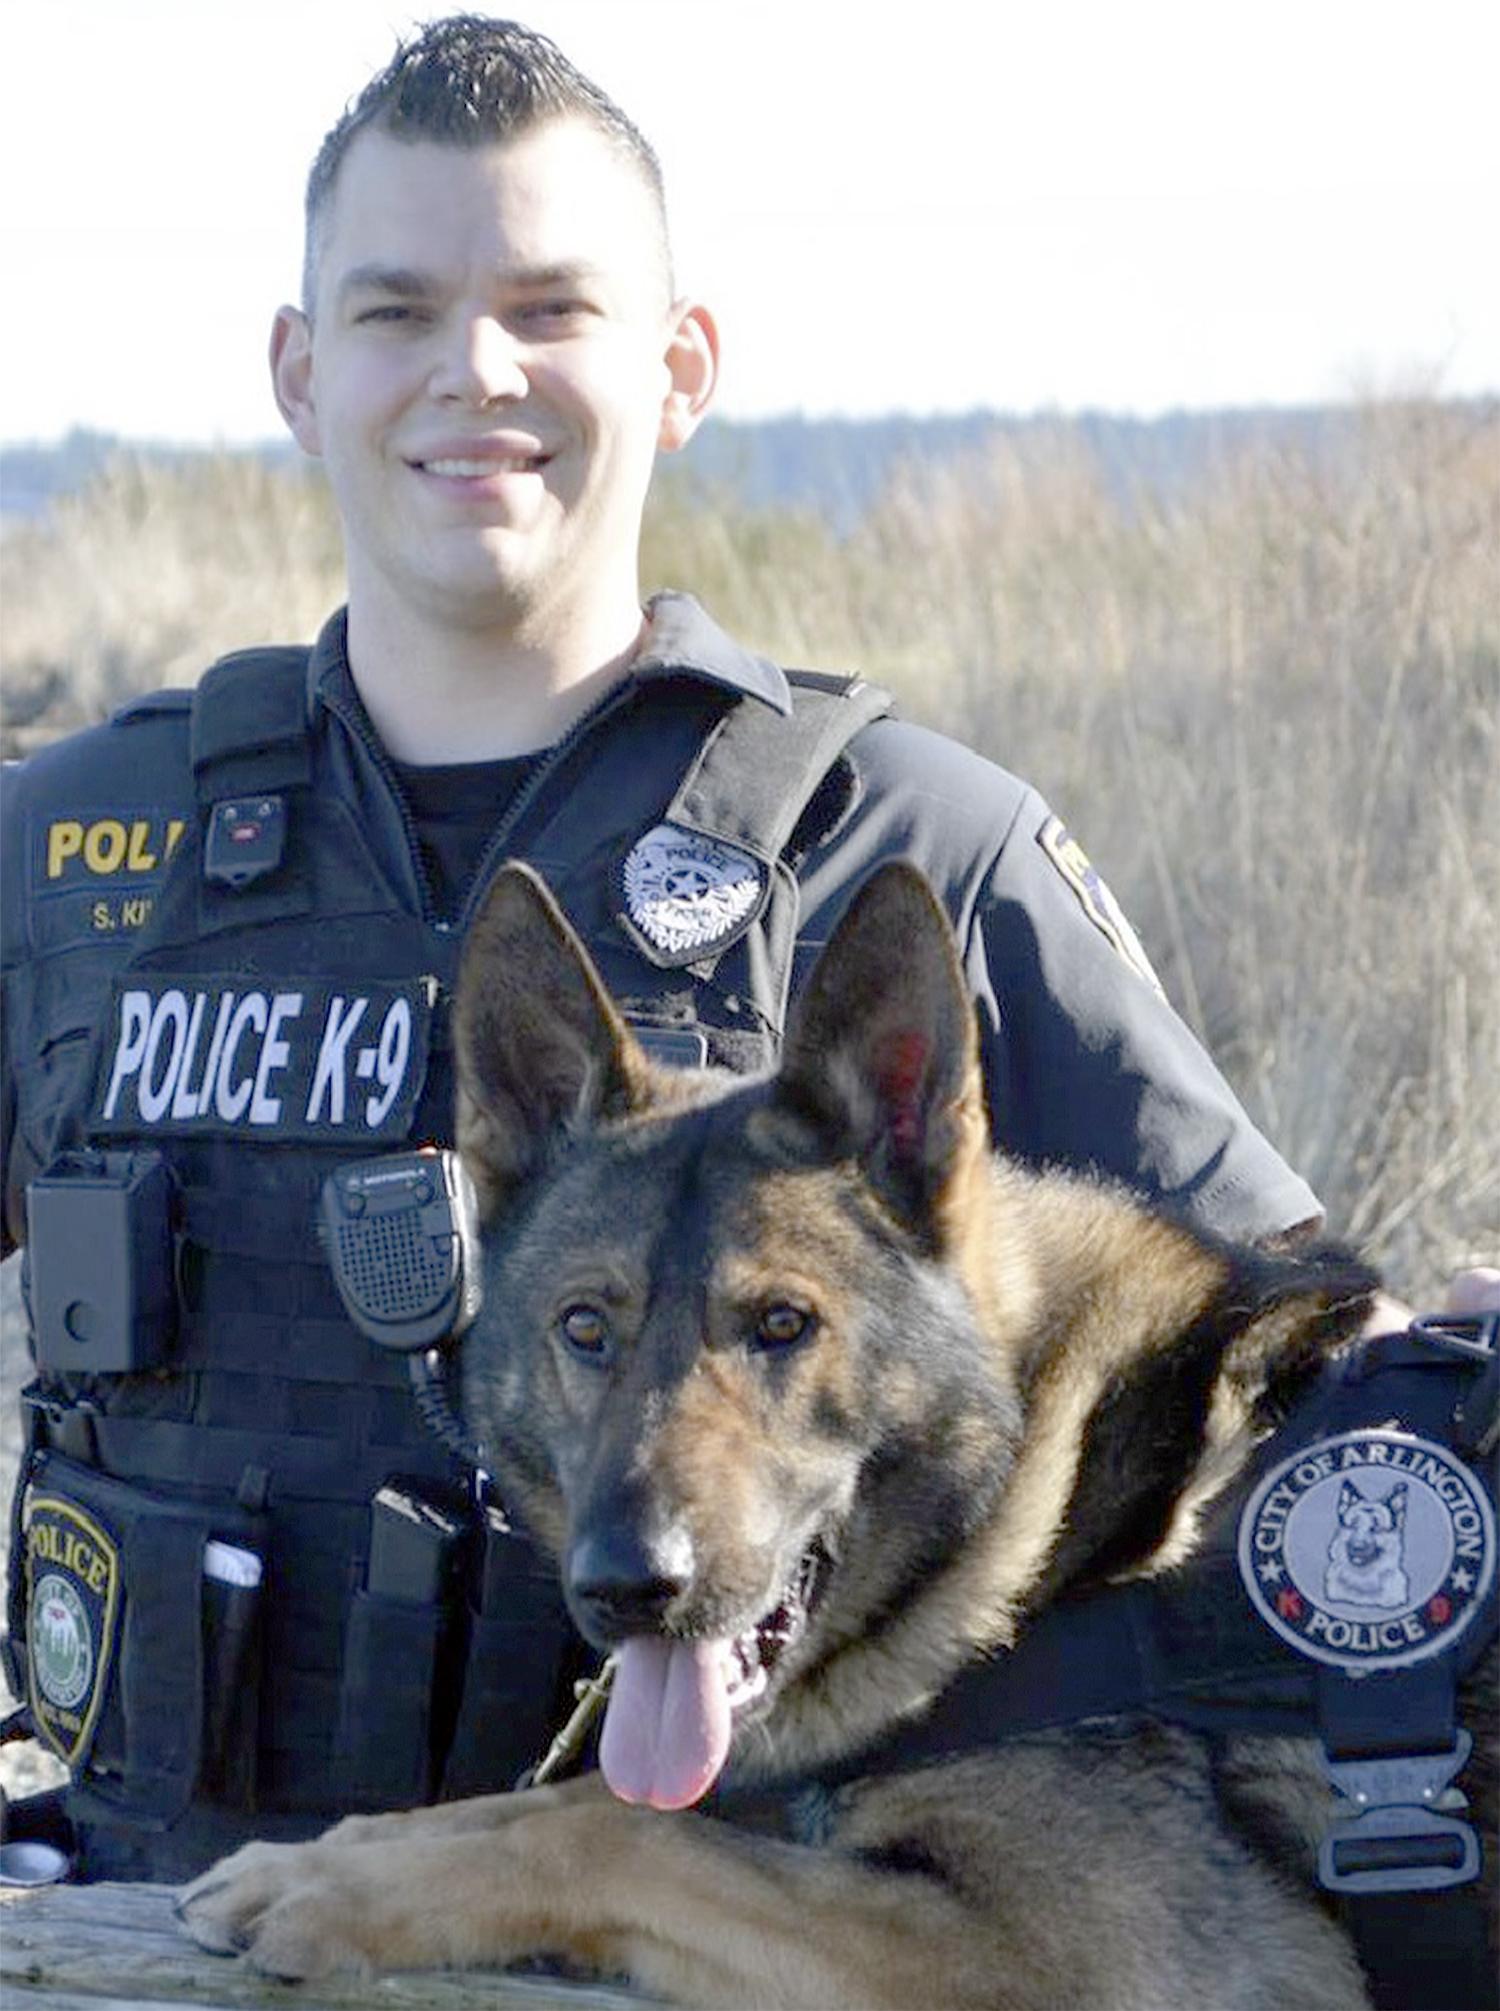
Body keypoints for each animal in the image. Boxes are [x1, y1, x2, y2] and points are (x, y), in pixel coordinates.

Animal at [174, 864, 1487, 2010]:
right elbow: (563, 1804)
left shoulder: (1059, 1960)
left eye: (782, 1323)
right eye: (587, 1327)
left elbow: (627, 1834)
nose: (628, 1589)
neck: (1041, 1500)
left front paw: (351, 1888)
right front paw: (340, 1849)